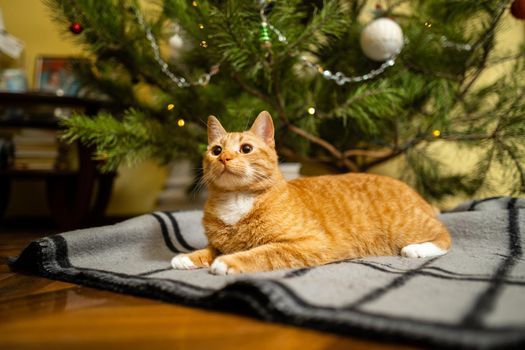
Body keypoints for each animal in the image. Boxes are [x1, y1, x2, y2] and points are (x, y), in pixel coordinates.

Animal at [171, 110, 450, 274]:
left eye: (246, 148)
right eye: (216, 150)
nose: (224, 158)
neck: (236, 199)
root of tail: (413, 192)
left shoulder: (307, 243)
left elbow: (262, 252)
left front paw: (229, 261)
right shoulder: (219, 243)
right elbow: (210, 249)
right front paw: (188, 257)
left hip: (407, 227)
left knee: (445, 236)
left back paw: (418, 249)